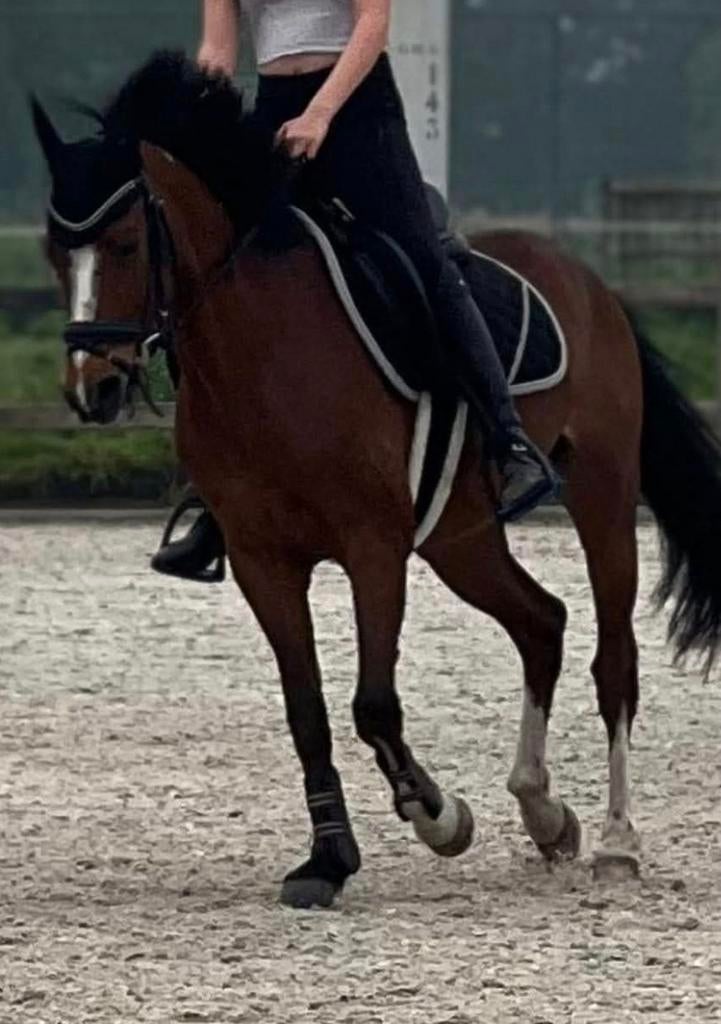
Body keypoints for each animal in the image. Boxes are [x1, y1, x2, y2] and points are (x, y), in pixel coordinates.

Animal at [32, 52, 721, 908]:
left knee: (612, 659)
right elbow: (309, 712)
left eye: (125, 245)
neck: (260, 351)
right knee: (541, 622)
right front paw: (327, 859)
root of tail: (588, 282)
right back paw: (542, 812)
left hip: (599, 494)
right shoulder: (263, 560)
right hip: (460, 538)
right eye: (53, 253)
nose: (91, 389)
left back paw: (616, 843)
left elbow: (373, 704)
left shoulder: (372, 547)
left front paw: (439, 816)